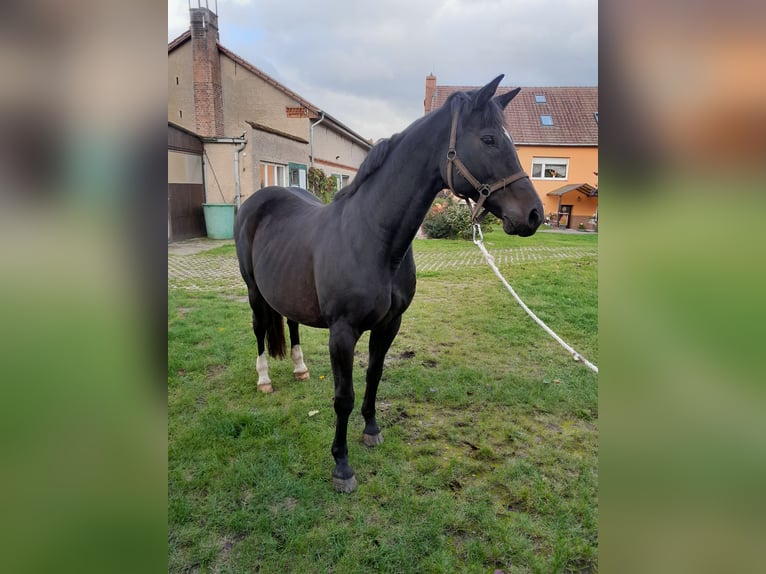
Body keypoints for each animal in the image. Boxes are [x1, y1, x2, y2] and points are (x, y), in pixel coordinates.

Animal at [237, 74, 544, 492]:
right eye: (488, 139)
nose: (534, 215)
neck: (373, 238)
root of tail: (259, 199)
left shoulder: (389, 324)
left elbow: (374, 375)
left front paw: (371, 430)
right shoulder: (343, 332)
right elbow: (343, 396)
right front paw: (342, 466)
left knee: (292, 324)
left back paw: (300, 370)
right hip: (254, 292)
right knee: (258, 330)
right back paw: (264, 380)